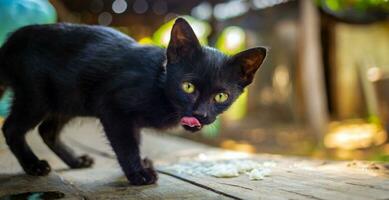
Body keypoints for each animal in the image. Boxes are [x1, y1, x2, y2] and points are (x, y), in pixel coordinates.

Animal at [0, 18, 266, 185]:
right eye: (188, 87)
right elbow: (126, 144)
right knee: (12, 128)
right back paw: (34, 166)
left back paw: (75, 161)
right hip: (36, 97)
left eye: (221, 96)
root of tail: (11, 41)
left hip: (68, 100)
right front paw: (139, 173)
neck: (159, 84)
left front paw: (142, 163)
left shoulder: (130, 120)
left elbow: (135, 140)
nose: (200, 114)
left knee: (48, 130)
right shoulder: (113, 109)